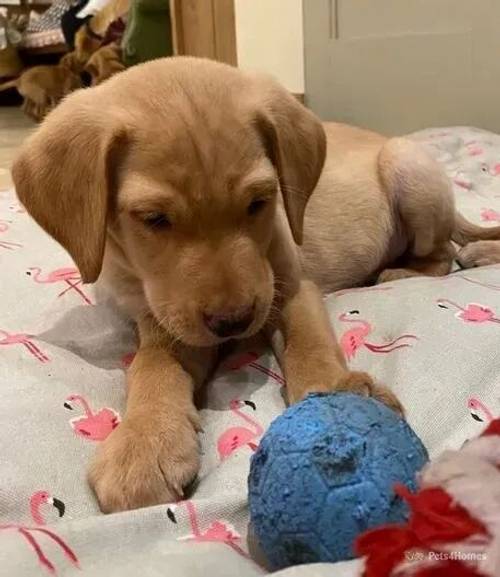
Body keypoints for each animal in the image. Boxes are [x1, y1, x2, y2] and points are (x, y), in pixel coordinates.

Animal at [11, 56, 500, 510]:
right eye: (153, 219)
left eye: (260, 202)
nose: (234, 322)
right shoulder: (165, 321)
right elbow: (151, 367)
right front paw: (144, 441)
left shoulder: (290, 285)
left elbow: (309, 341)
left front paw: (336, 391)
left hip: (409, 169)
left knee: (441, 256)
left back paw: (406, 270)